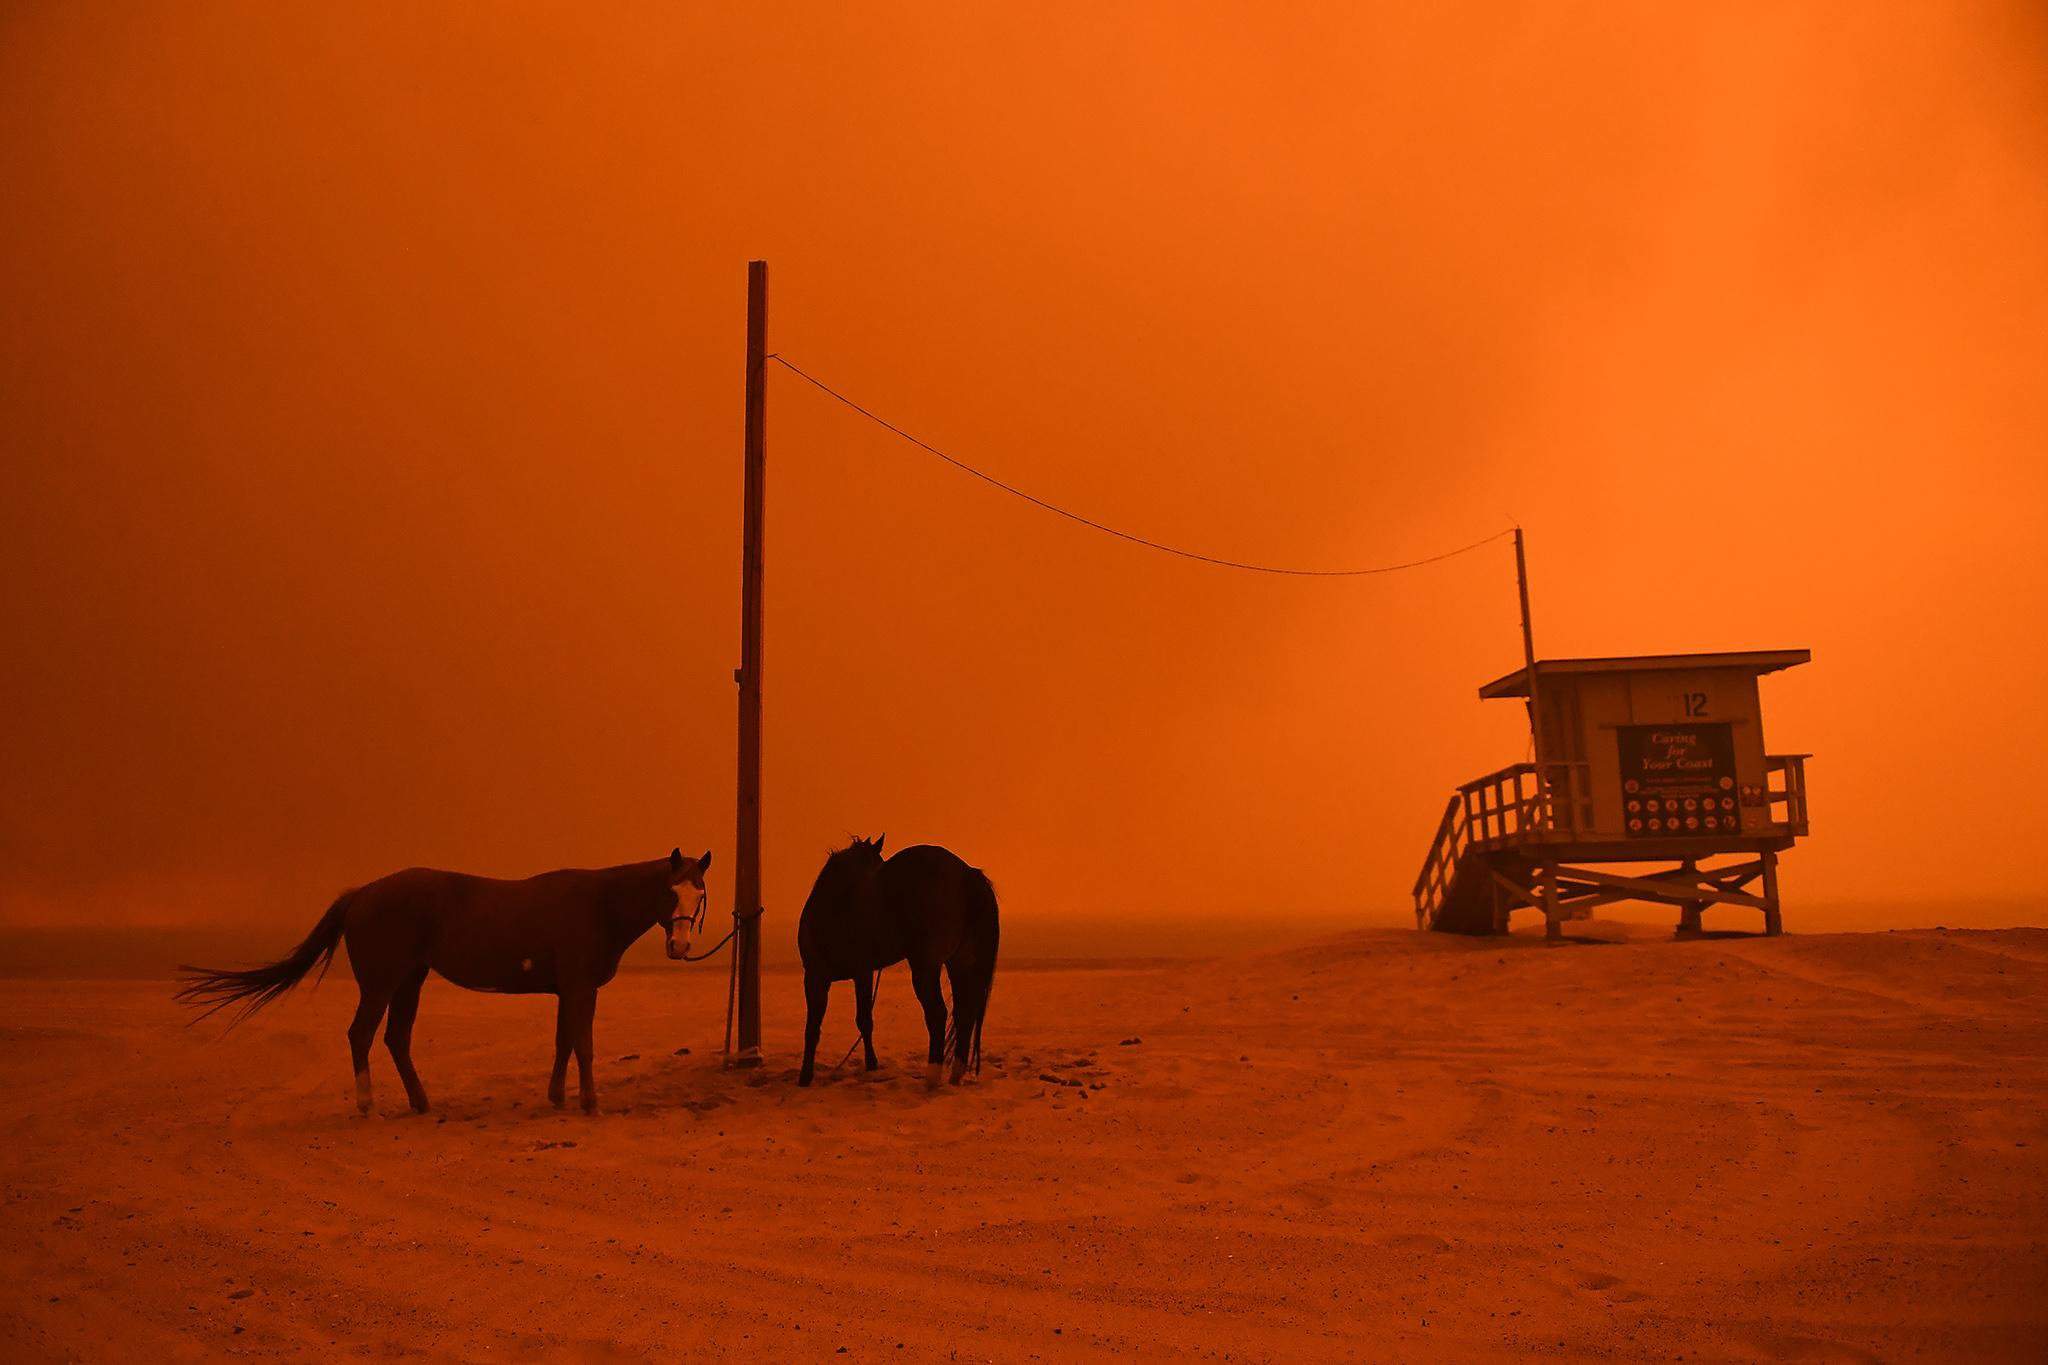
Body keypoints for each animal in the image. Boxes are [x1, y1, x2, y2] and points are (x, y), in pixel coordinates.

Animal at [178, 847, 720, 1113]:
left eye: (700, 892)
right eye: (670, 891)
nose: (679, 946)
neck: (599, 905)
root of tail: (362, 894)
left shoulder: (568, 991)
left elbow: (563, 1043)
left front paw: (558, 1097)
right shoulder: (580, 988)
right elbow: (582, 1045)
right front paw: (589, 1103)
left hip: (410, 981)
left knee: (396, 1039)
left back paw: (421, 1103)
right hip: (381, 984)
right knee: (361, 1035)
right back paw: (368, 1104)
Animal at [790, 834, 999, 1088]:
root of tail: (966, 874)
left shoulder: (815, 976)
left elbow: (813, 1027)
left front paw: (805, 1076)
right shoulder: (863, 973)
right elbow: (864, 1020)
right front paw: (871, 1066)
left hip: (925, 966)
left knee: (937, 1013)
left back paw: (932, 1077)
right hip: (959, 963)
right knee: (963, 1013)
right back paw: (955, 1076)